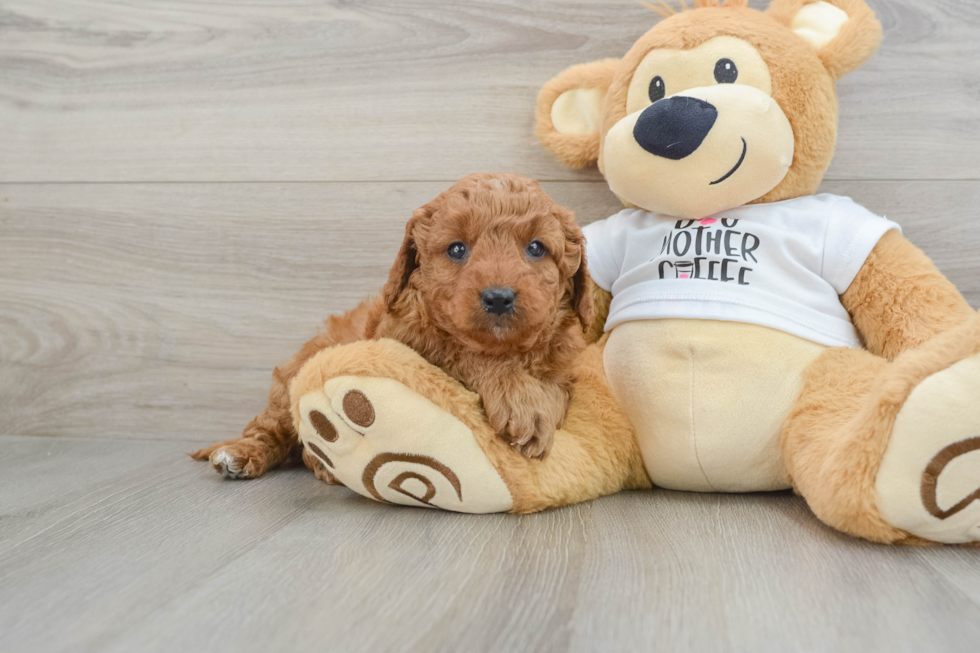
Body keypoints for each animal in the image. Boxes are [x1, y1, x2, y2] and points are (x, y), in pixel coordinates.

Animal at [190, 173, 588, 478]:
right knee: (271, 427)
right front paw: (521, 402)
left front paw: (537, 407)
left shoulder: (565, 372)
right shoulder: (407, 344)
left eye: (536, 248)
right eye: (457, 249)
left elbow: (555, 392)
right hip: (291, 379)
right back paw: (242, 454)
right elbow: (461, 352)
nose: (499, 297)